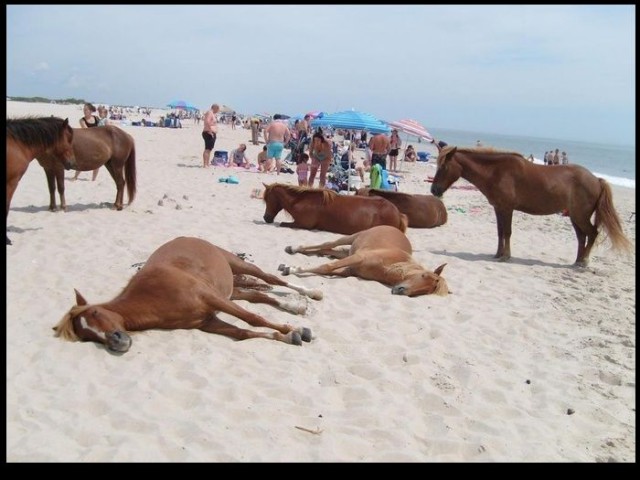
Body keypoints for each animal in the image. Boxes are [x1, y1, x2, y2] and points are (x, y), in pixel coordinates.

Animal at [53, 236, 324, 353]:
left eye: (96, 312)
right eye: (86, 337)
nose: (117, 342)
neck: (154, 296)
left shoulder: (211, 299)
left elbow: (252, 319)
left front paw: (295, 330)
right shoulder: (207, 322)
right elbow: (243, 333)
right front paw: (289, 336)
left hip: (237, 265)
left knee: (271, 280)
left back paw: (310, 294)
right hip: (231, 292)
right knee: (260, 296)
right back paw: (294, 307)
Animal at [262, 183, 409, 235]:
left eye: (267, 199)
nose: (266, 218)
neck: (302, 200)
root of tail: (398, 213)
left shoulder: (302, 224)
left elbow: (282, 224)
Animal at [279, 225, 450, 297]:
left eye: (426, 291)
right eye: (423, 275)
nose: (400, 290)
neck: (388, 267)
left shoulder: (349, 269)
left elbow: (328, 269)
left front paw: (291, 268)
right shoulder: (358, 258)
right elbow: (326, 267)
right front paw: (290, 269)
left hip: (347, 251)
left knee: (327, 250)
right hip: (351, 237)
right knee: (328, 244)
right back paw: (293, 248)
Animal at [429, 146, 632, 266]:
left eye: (444, 167)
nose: (434, 190)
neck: (496, 171)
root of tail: (596, 179)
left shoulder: (507, 208)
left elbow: (507, 232)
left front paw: (506, 256)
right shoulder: (498, 208)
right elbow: (500, 232)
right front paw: (497, 254)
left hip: (579, 216)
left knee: (592, 234)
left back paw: (584, 262)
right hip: (575, 217)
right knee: (582, 237)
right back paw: (577, 260)